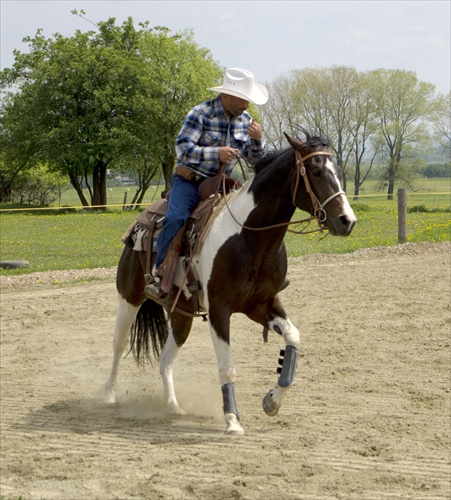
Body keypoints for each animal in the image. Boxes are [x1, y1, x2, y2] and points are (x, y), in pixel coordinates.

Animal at [105, 132, 356, 434]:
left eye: (339, 172)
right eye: (316, 172)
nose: (347, 221)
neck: (249, 238)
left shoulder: (262, 304)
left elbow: (293, 337)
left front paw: (272, 401)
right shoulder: (219, 309)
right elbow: (227, 367)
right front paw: (233, 419)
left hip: (180, 314)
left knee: (166, 359)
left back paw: (173, 406)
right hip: (129, 298)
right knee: (118, 344)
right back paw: (109, 396)